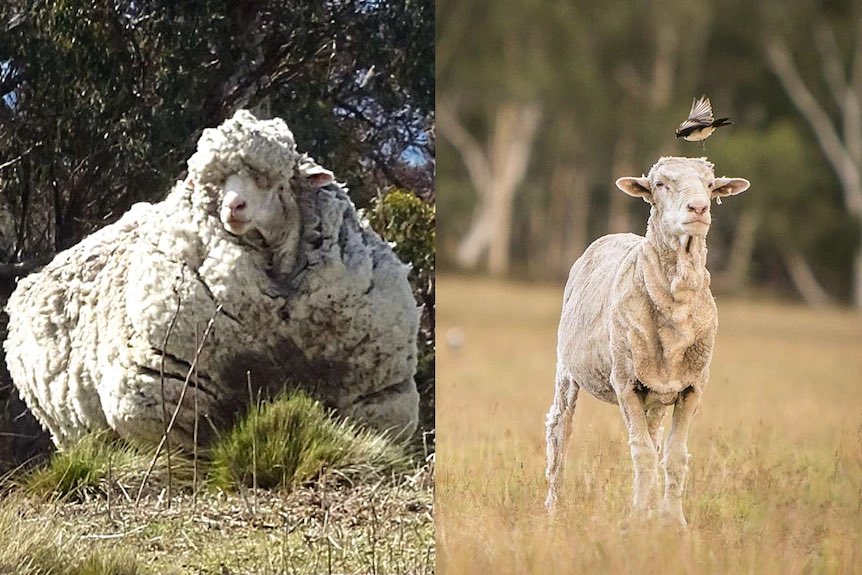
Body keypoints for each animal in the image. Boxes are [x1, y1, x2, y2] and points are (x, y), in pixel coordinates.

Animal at [4, 109, 420, 449]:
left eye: (272, 180)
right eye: (215, 184)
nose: (234, 207)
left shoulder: (377, 395)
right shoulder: (165, 394)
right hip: (73, 430)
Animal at [544, 156, 749, 526]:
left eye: (711, 185)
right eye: (660, 185)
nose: (698, 208)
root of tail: (617, 235)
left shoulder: (692, 387)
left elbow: (674, 455)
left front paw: (672, 521)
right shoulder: (625, 383)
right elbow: (640, 453)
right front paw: (638, 518)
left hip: (655, 393)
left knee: (655, 441)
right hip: (567, 367)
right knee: (559, 427)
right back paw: (554, 506)